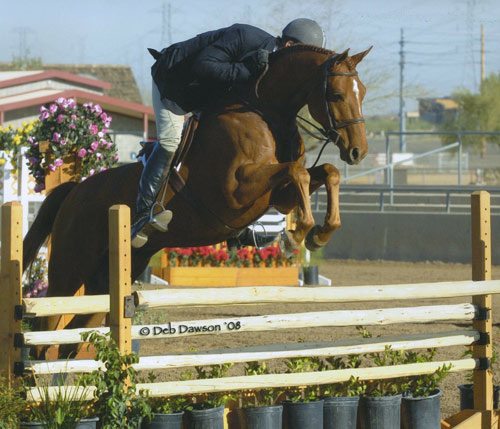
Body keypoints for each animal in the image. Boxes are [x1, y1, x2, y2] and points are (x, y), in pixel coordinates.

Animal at [22, 44, 372, 334]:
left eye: (363, 93)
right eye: (337, 95)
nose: (358, 151)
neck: (265, 112)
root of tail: (74, 192)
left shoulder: (275, 195)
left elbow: (326, 173)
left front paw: (320, 233)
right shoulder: (235, 193)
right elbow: (298, 172)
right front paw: (297, 235)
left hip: (112, 274)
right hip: (69, 269)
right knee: (46, 327)